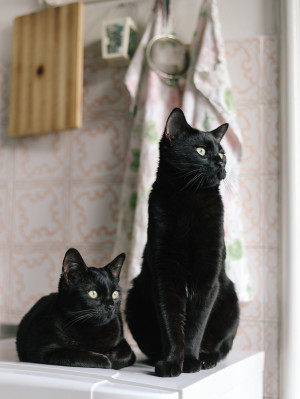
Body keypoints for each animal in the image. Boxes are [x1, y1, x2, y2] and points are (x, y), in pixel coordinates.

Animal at [126, 108, 239, 378]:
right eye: (201, 151)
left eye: (221, 152)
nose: (221, 163)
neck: (190, 197)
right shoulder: (164, 273)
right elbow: (171, 322)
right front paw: (170, 363)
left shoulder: (209, 276)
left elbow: (196, 325)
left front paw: (189, 360)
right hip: (132, 301)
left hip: (231, 301)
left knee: (221, 345)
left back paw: (207, 359)